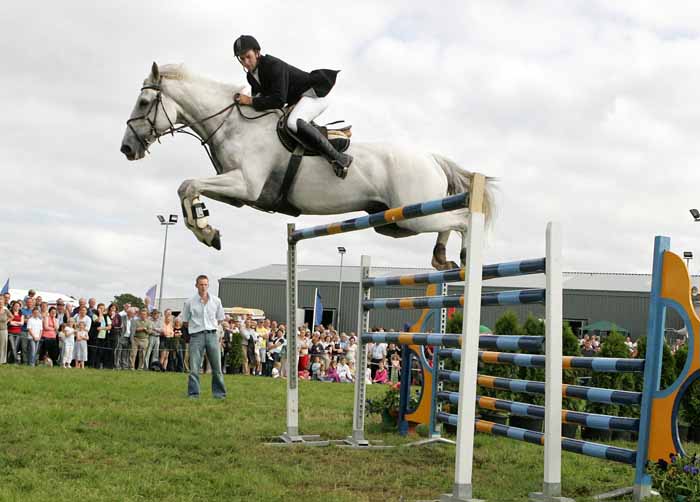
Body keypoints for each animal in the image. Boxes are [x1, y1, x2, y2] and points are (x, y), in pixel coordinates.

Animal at [120, 63, 494, 270]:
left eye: (144, 102)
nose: (126, 149)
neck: (232, 123)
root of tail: (430, 157)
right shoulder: (241, 193)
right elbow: (188, 187)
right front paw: (207, 228)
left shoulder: (245, 183)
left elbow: (188, 184)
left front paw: (206, 231)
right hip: (396, 223)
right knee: (447, 222)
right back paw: (441, 258)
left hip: (415, 214)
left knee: (461, 219)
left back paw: (462, 258)